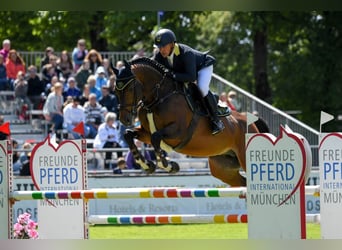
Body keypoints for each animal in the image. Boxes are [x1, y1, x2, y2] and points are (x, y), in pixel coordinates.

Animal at [112, 56, 264, 186]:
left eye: (130, 89)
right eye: (115, 90)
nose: (124, 119)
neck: (158, 97)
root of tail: (250, 122)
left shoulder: (178, 132)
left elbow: (156, 138)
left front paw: (169, 166)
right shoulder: (146, 133)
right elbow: (128, 134)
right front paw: (147, 165)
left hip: (245, 159)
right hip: (223, 167)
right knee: (243, 183)